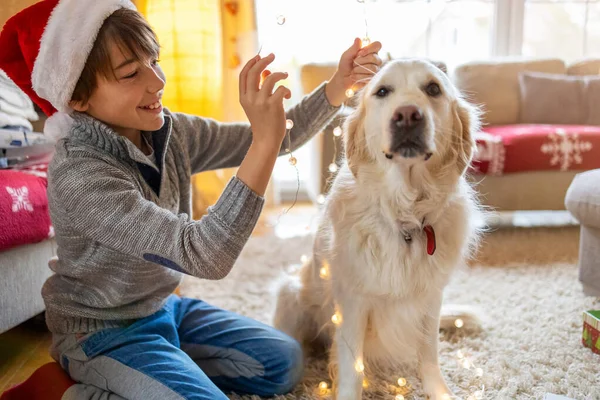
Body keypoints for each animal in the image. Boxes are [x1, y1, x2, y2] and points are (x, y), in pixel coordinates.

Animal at [274, 59, 486, 400]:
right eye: (383, 91)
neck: (406, 216)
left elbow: (429, 353)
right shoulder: (353, 302)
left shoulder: (431, 297)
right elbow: (352, 368)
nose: (408, 115)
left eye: (433, 88)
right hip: (290, 293)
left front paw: (438, 390)